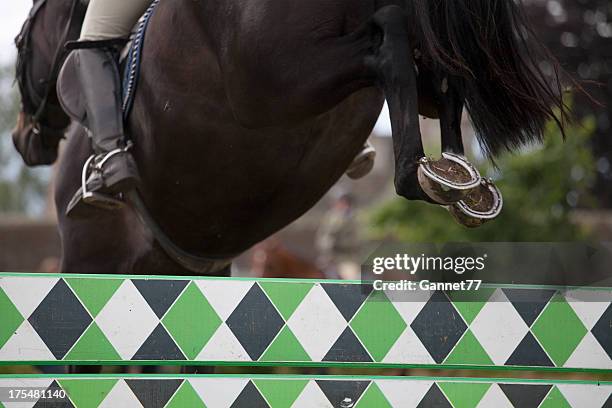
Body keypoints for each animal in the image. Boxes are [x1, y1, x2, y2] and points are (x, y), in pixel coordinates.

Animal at [14, 0, 568, 276]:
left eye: (20, 41)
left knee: (390, 45)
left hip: (271, 77)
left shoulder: (91, 258)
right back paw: (459, 180)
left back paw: (426, 174)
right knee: (430, 62)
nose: (23, 140)